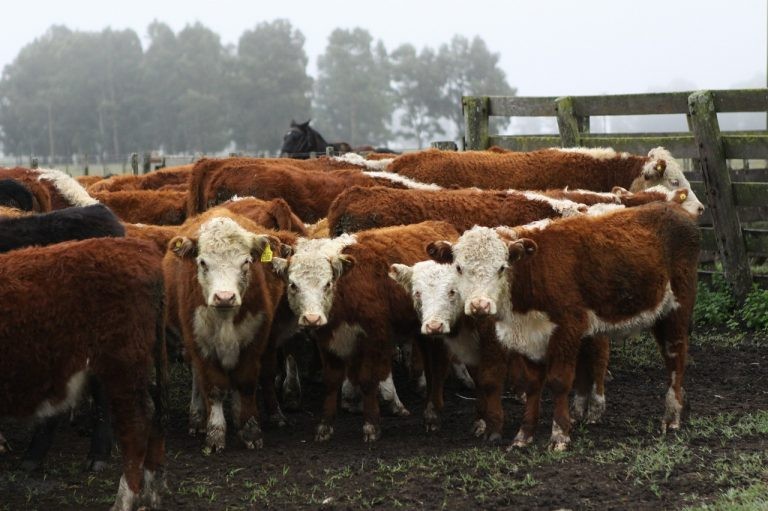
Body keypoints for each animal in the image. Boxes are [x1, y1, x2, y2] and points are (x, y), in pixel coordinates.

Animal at [0, 237, 168, 511]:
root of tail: (138, 249)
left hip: (121, 365)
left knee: (137, 423)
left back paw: (125, 499)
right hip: (144, 364)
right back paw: (151, 496)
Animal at [163, 208, 288, 454]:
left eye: (246, 262)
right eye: (202, 262)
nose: (224, 297)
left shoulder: (254, 340)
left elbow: (246, 384)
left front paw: (249, 430)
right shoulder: (199, 342)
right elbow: (213, 387)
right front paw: (214, 433)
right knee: (198, 377)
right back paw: (197, 418)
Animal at [270, 221, 460, 442]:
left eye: (328, 283)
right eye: (293, 285)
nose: (312, 318)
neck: (345, 291)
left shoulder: (374, 338)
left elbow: (368, 379)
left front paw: (371, 425)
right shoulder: (328, 341)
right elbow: (331, 382)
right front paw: (325, 427)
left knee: (438, 367)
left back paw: (432, 415)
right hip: (422, 333)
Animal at [427, 202, 700, 450]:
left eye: (502, 267)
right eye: (459, 267)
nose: (479, 305)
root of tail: (674, 209)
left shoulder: (567, 328)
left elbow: (559, 381)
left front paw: (559, 435)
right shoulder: (529, 337)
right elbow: (532, 384)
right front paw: (523, 435)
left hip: (677, 308)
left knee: (675, 357)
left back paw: (672, 415)